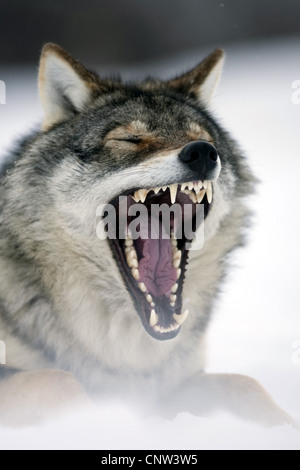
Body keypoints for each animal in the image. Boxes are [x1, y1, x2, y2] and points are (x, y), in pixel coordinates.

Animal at [0, 46, 292, 428]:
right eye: (129, 140)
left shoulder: (171, 384)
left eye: (206, 139)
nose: (201, 152)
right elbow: (61, 380)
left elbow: (245, 383)